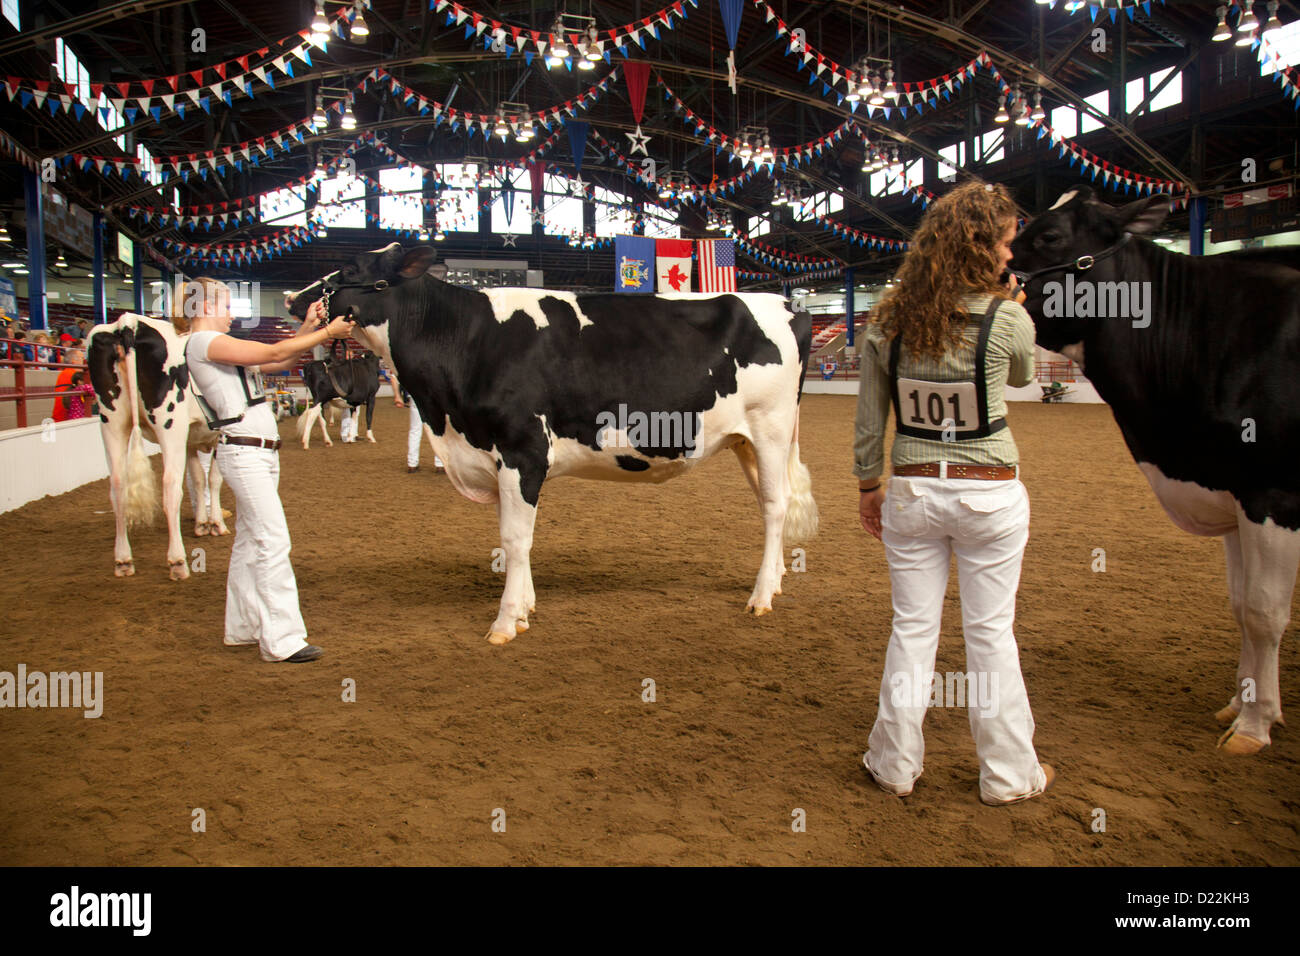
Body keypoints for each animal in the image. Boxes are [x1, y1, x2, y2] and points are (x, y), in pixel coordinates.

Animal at [86, 317, 228, 580]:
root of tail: (128, 321)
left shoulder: (190, 441)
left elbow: (198, 478)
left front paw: (202, 524)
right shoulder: (218, 434)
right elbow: (213, 480)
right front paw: (216, 524)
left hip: (111, 423)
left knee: (117, 485)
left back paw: (123, 560)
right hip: (170, 426)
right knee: (170, 486)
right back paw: (177, 561)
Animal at [291, 243, 816, 647]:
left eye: (352, 269)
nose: (297, 299)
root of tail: (786, 303)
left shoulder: (521, 452)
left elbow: (514, 539)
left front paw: (506, 622)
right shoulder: (502, 459)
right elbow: (516, 537)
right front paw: (524, 607)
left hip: (770, 429)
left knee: (773, 507)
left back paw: (761, 597)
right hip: (746, 442)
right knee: (772, 502)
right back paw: (777, 582)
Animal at [1008, 187, 1300, 754]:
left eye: (1050, 235)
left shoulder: (1273, 495)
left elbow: (1264, 612)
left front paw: (1253, 727)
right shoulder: (1232, 494)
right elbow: (1241, 606)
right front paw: (1240, 704)